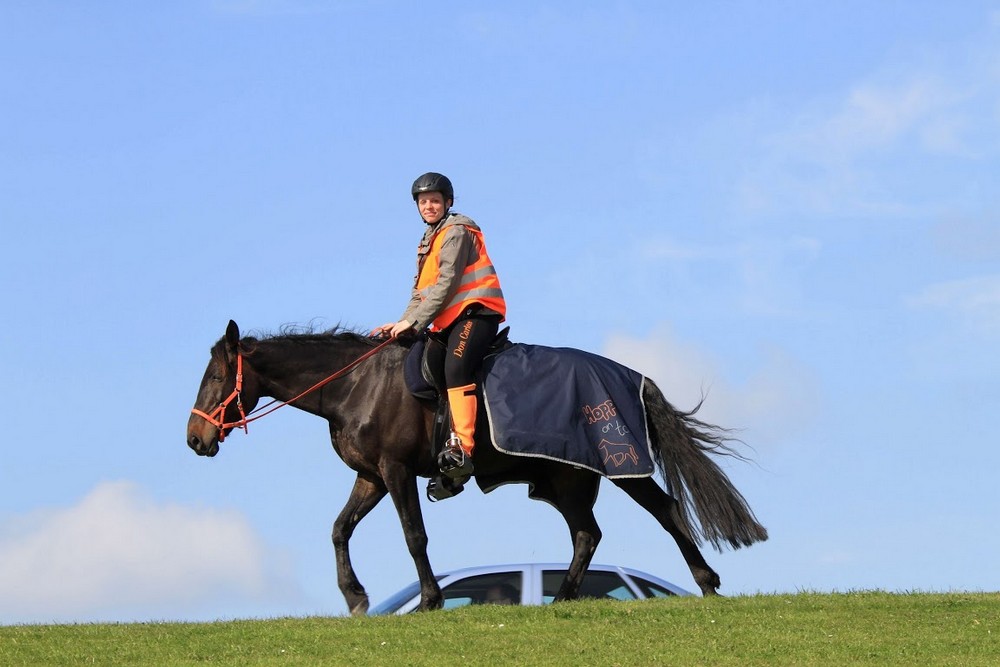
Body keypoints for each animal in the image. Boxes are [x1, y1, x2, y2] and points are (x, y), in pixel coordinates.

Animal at [187, 320, 767, 615]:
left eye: (215, 377)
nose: (195, 439)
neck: (356, 386)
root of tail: (631, 376)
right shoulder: (371, 476)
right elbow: (339, 529)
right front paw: (355, 597)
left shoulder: (396, 471)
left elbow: (414, 535)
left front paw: (429, 599)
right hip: (567, 479)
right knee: (587, 533)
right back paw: (563, 597)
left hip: (617, 463)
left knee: (664, 509)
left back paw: (706, 582)